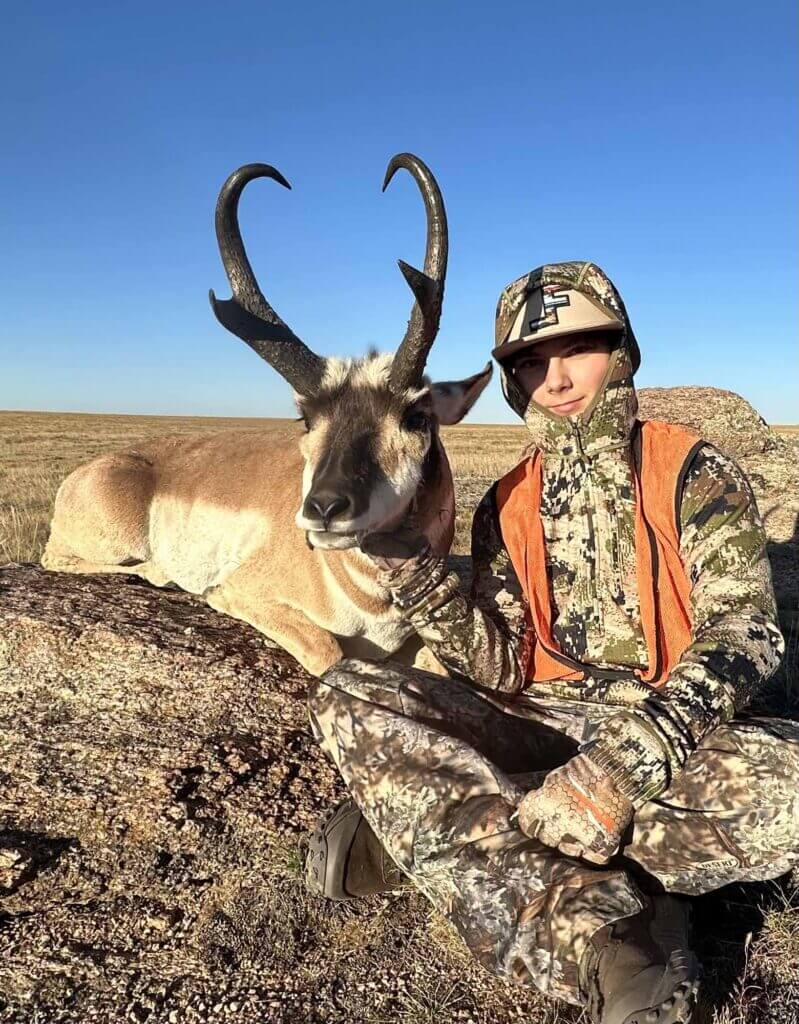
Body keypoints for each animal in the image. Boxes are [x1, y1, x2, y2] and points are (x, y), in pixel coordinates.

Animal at [42, 154, 492, 677]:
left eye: (416, 416)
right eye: (306, 419)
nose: (323, 509)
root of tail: (92, 470)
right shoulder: (244, 594)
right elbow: (329, 650)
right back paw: (160, 574)